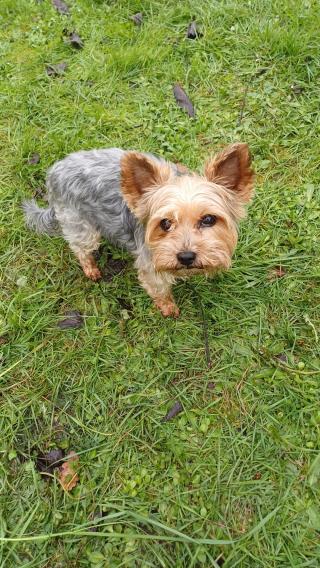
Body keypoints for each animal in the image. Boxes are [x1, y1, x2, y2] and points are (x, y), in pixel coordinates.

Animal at [22, 144, 254, 318]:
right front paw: (169, 309)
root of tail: (54, 172)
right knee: (80, 248)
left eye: (208, 219)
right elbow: (160, 290)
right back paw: (91, 268)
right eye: (165, 223)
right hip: (79, 224)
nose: (186, 257)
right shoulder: (151, 265)